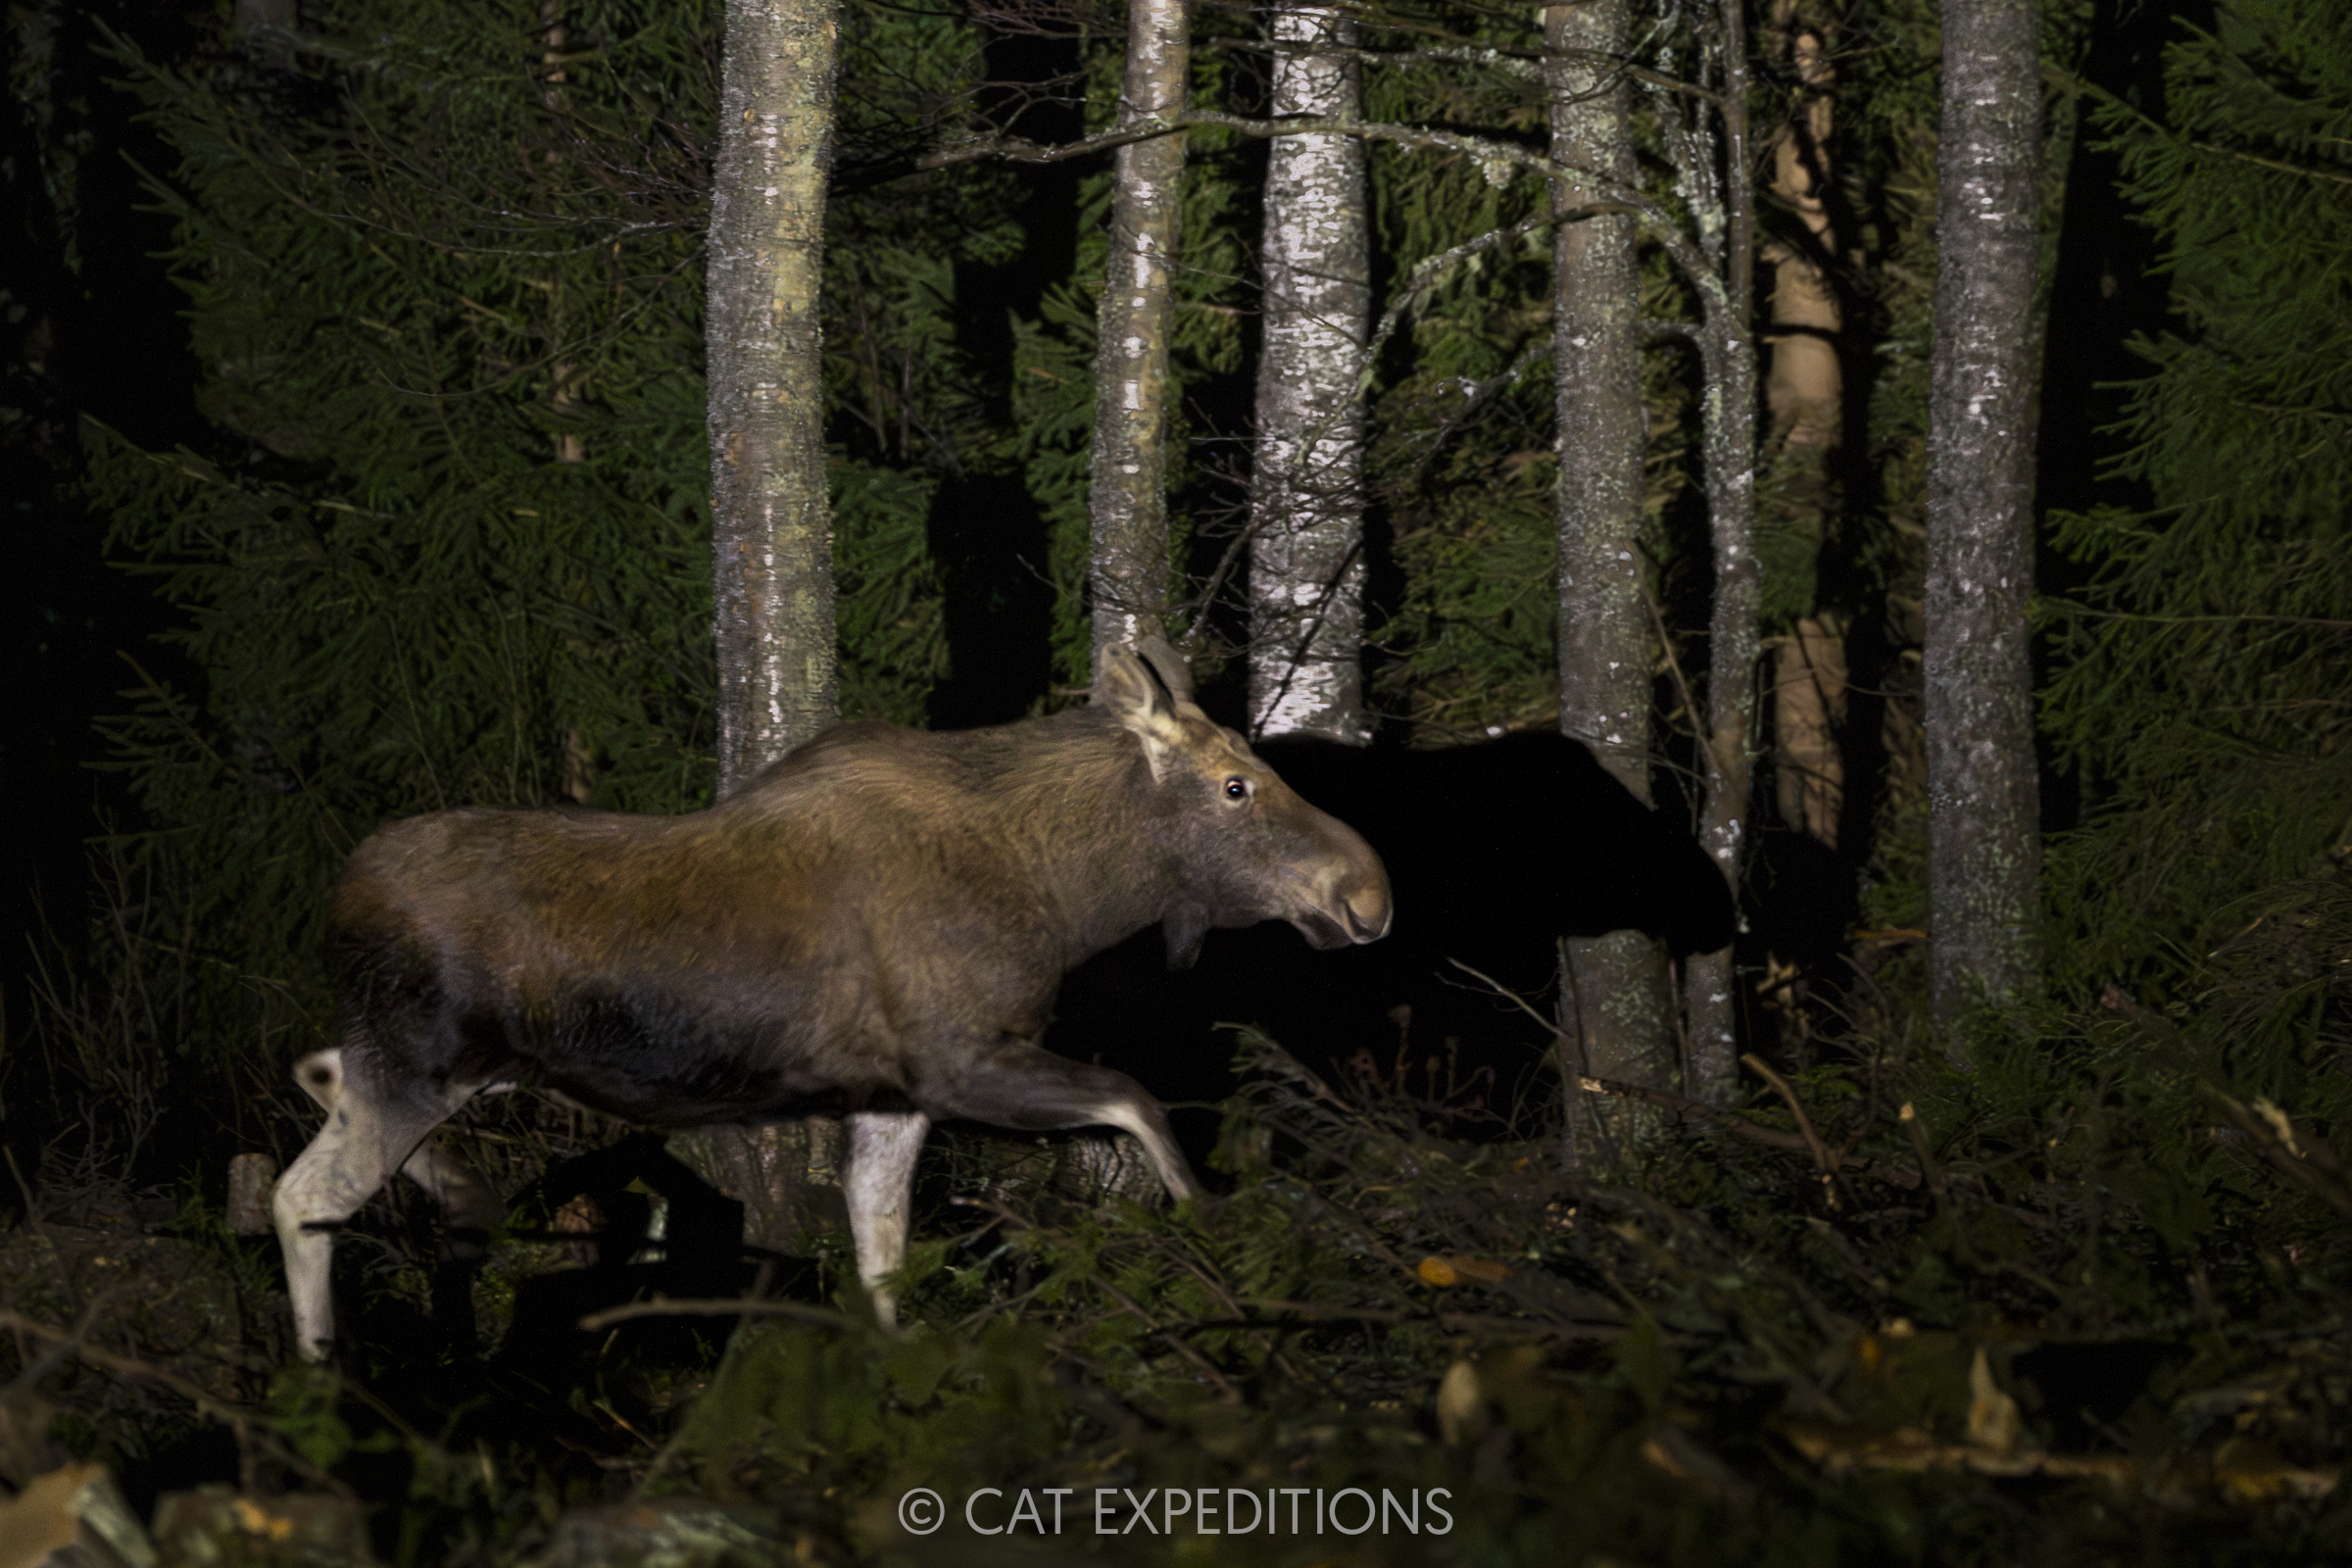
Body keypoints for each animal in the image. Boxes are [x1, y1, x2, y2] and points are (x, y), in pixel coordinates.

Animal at [270, 639, 1392, 1363]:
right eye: (1236, 787)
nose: (1369, 894)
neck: (1064, 893)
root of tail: (333, 898)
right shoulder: (961, 1059)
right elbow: (1142, 1102)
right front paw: (1224, 1242)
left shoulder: (894, 1095)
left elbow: (880, 1252)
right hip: (421, 1066)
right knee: (300, 1193)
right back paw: (322, 1375)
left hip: (440, 1067)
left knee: (314, 1073)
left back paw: (450, 1215)